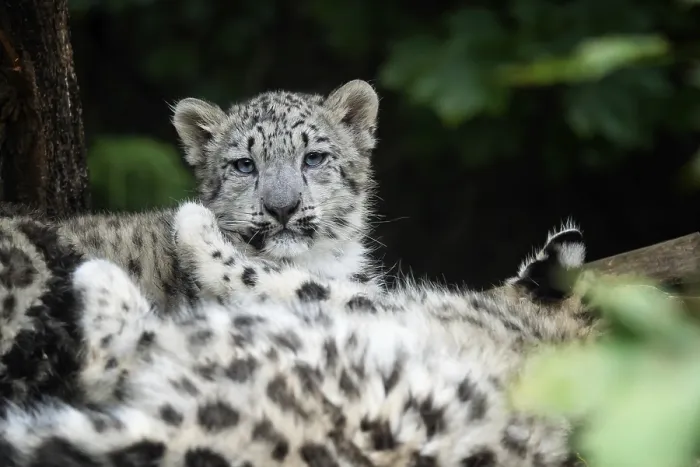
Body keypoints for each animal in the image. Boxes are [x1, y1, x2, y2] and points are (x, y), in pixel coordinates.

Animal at [0, 202, 598, 467]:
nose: (563, 235)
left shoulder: (365, 302)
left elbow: (281, 278)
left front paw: (195, 226)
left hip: (240, 334)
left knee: (119, 348)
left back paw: (100, 274)